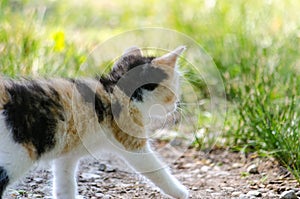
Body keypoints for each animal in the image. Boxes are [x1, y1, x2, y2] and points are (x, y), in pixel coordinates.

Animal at [0, 45, 189, 198]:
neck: (116, 90)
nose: (177, 104)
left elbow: (65, 183)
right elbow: (156, 169)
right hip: (12, 158)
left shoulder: (67, 155)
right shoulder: (132, 142)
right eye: (174, 89)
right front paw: (181, 192)